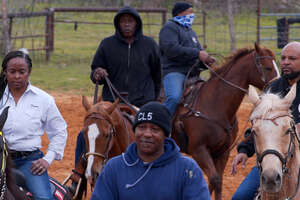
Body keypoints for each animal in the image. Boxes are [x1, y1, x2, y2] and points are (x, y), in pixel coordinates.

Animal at [172, 43, 280, 199]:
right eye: (267, 67)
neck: (214, 105)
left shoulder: (222, 152)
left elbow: (217, 182)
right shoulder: (198, 150)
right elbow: (214, 179)